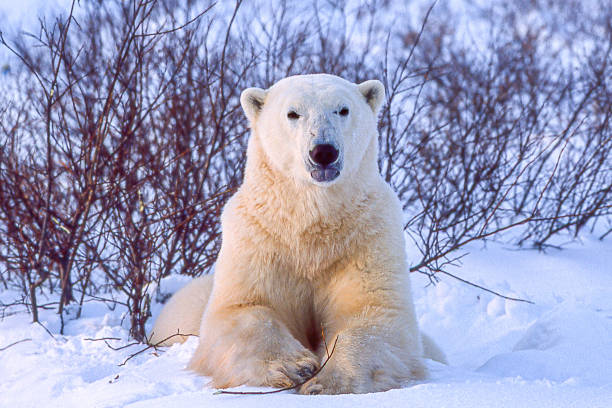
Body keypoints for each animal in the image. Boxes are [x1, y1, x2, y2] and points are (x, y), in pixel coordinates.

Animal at [148, 74, 444, 396]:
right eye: (293, 113)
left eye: (343, 109)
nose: (324, 151)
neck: (309, 226)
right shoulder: (258, 239)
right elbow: (243, 309)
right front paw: (294, 366)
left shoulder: (366, 238)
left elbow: (373, 312)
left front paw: (326, 380)